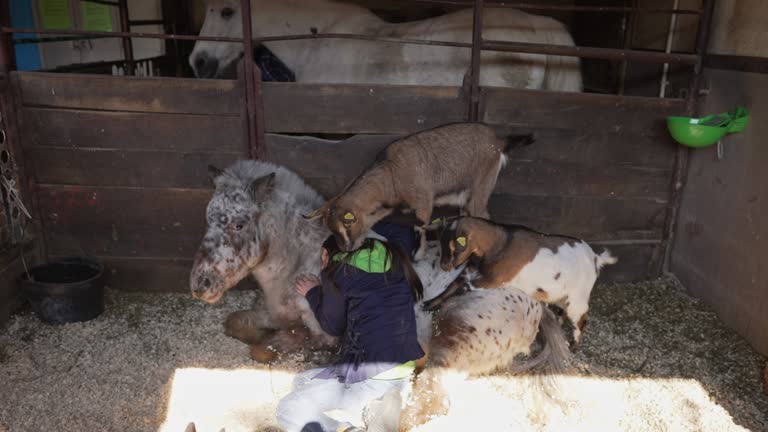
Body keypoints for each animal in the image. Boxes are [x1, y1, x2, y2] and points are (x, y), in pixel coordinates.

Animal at [304, 121, 532, 250]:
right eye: (330, 228)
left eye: (347, 225)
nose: (344, 249)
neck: (392, 174)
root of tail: (499, 141)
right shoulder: (391, 206)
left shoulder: (424, 203)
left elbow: (419, 228)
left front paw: (420, 254)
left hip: (481, 186)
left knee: (482, 215)